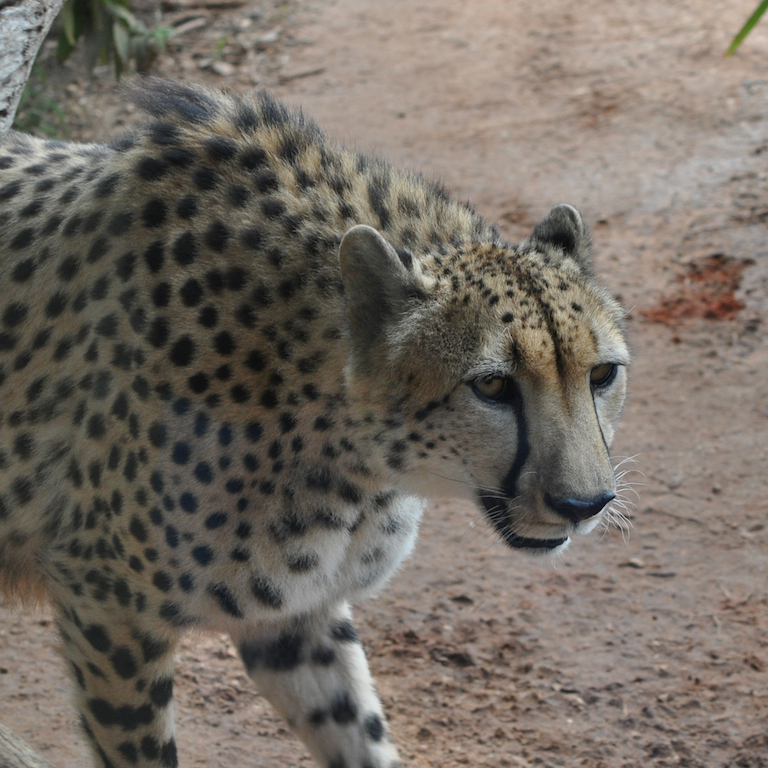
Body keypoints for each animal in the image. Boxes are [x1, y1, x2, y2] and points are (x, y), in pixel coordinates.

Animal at [0, 79, 629, 768]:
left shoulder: (293, 613)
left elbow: (360, 733)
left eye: (602, 374)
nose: (585, 504)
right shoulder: (109, 609)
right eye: (491, 385)